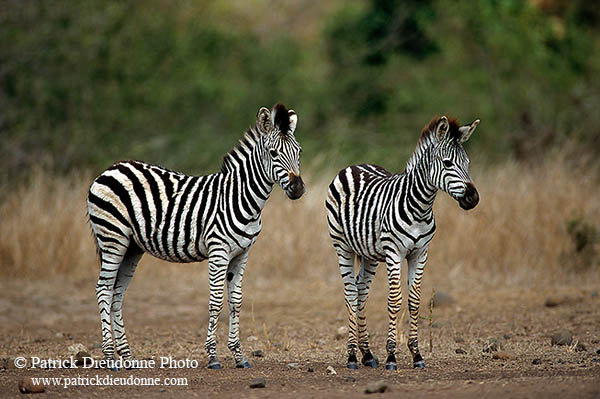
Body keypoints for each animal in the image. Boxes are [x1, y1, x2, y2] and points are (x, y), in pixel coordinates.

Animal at [85, 104, 304, 372]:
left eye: (299, 152)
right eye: (273, 153)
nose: (298, 189)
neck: (242, 198)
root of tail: (111, 168)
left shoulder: (242, 254)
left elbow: (236, 302)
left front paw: (239, 356)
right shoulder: (218, 251)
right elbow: (216, 301)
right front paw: (213, 357)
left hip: (131, 247)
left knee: (116, 293)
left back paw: (127, 357)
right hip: (112, 238)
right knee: (104, 289)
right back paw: (109, 358)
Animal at [326, 115, 480, 372]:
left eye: (467, 163)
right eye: (448, 163)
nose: (473, 198)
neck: (420, 206)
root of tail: (354, 166)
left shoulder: (421, 252)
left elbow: (415, 301)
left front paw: (417, 354)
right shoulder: (394, 252)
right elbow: (395, 300)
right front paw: (391, 356)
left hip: (368, 254)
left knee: (361, 291)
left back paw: (367, 354)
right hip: (343, 247)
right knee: (350, 294)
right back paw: (352, 356)